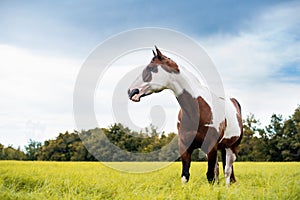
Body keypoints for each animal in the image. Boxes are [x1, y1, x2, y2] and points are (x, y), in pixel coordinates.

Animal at [127, 46, 243, 185]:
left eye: (151, 69)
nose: (131, 92)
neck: (196, 111)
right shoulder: (185, 147)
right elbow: (185, 175)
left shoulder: (211, 146)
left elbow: (210, 176)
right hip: (221, 148)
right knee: (219, 169)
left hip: (231, 147)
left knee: (227, 172)